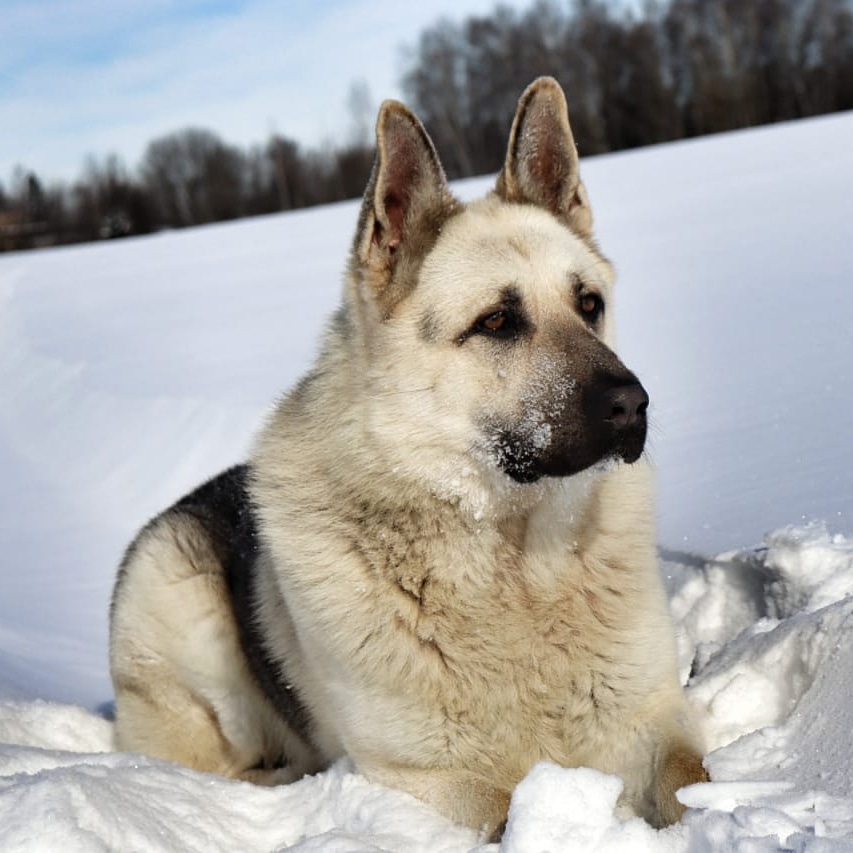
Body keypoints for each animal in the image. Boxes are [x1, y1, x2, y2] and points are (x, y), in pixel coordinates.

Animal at [108, 76, 704, 836]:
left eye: (589, 305)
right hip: (180, 594)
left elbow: (695, 781)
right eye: (497, 322)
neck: (513, 565)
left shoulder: (654, 718)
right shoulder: (415, 776)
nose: (633, 405)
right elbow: (505, 809)